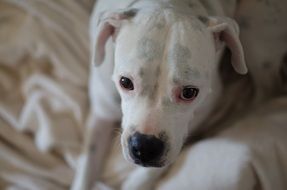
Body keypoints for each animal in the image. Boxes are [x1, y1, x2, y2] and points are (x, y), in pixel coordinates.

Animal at [73, 0, 287, 189]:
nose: (146, 147)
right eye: (125, 82)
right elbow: (85, 170)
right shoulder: (101, 114)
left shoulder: (199, 113)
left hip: (255, 35)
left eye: (189, 92)